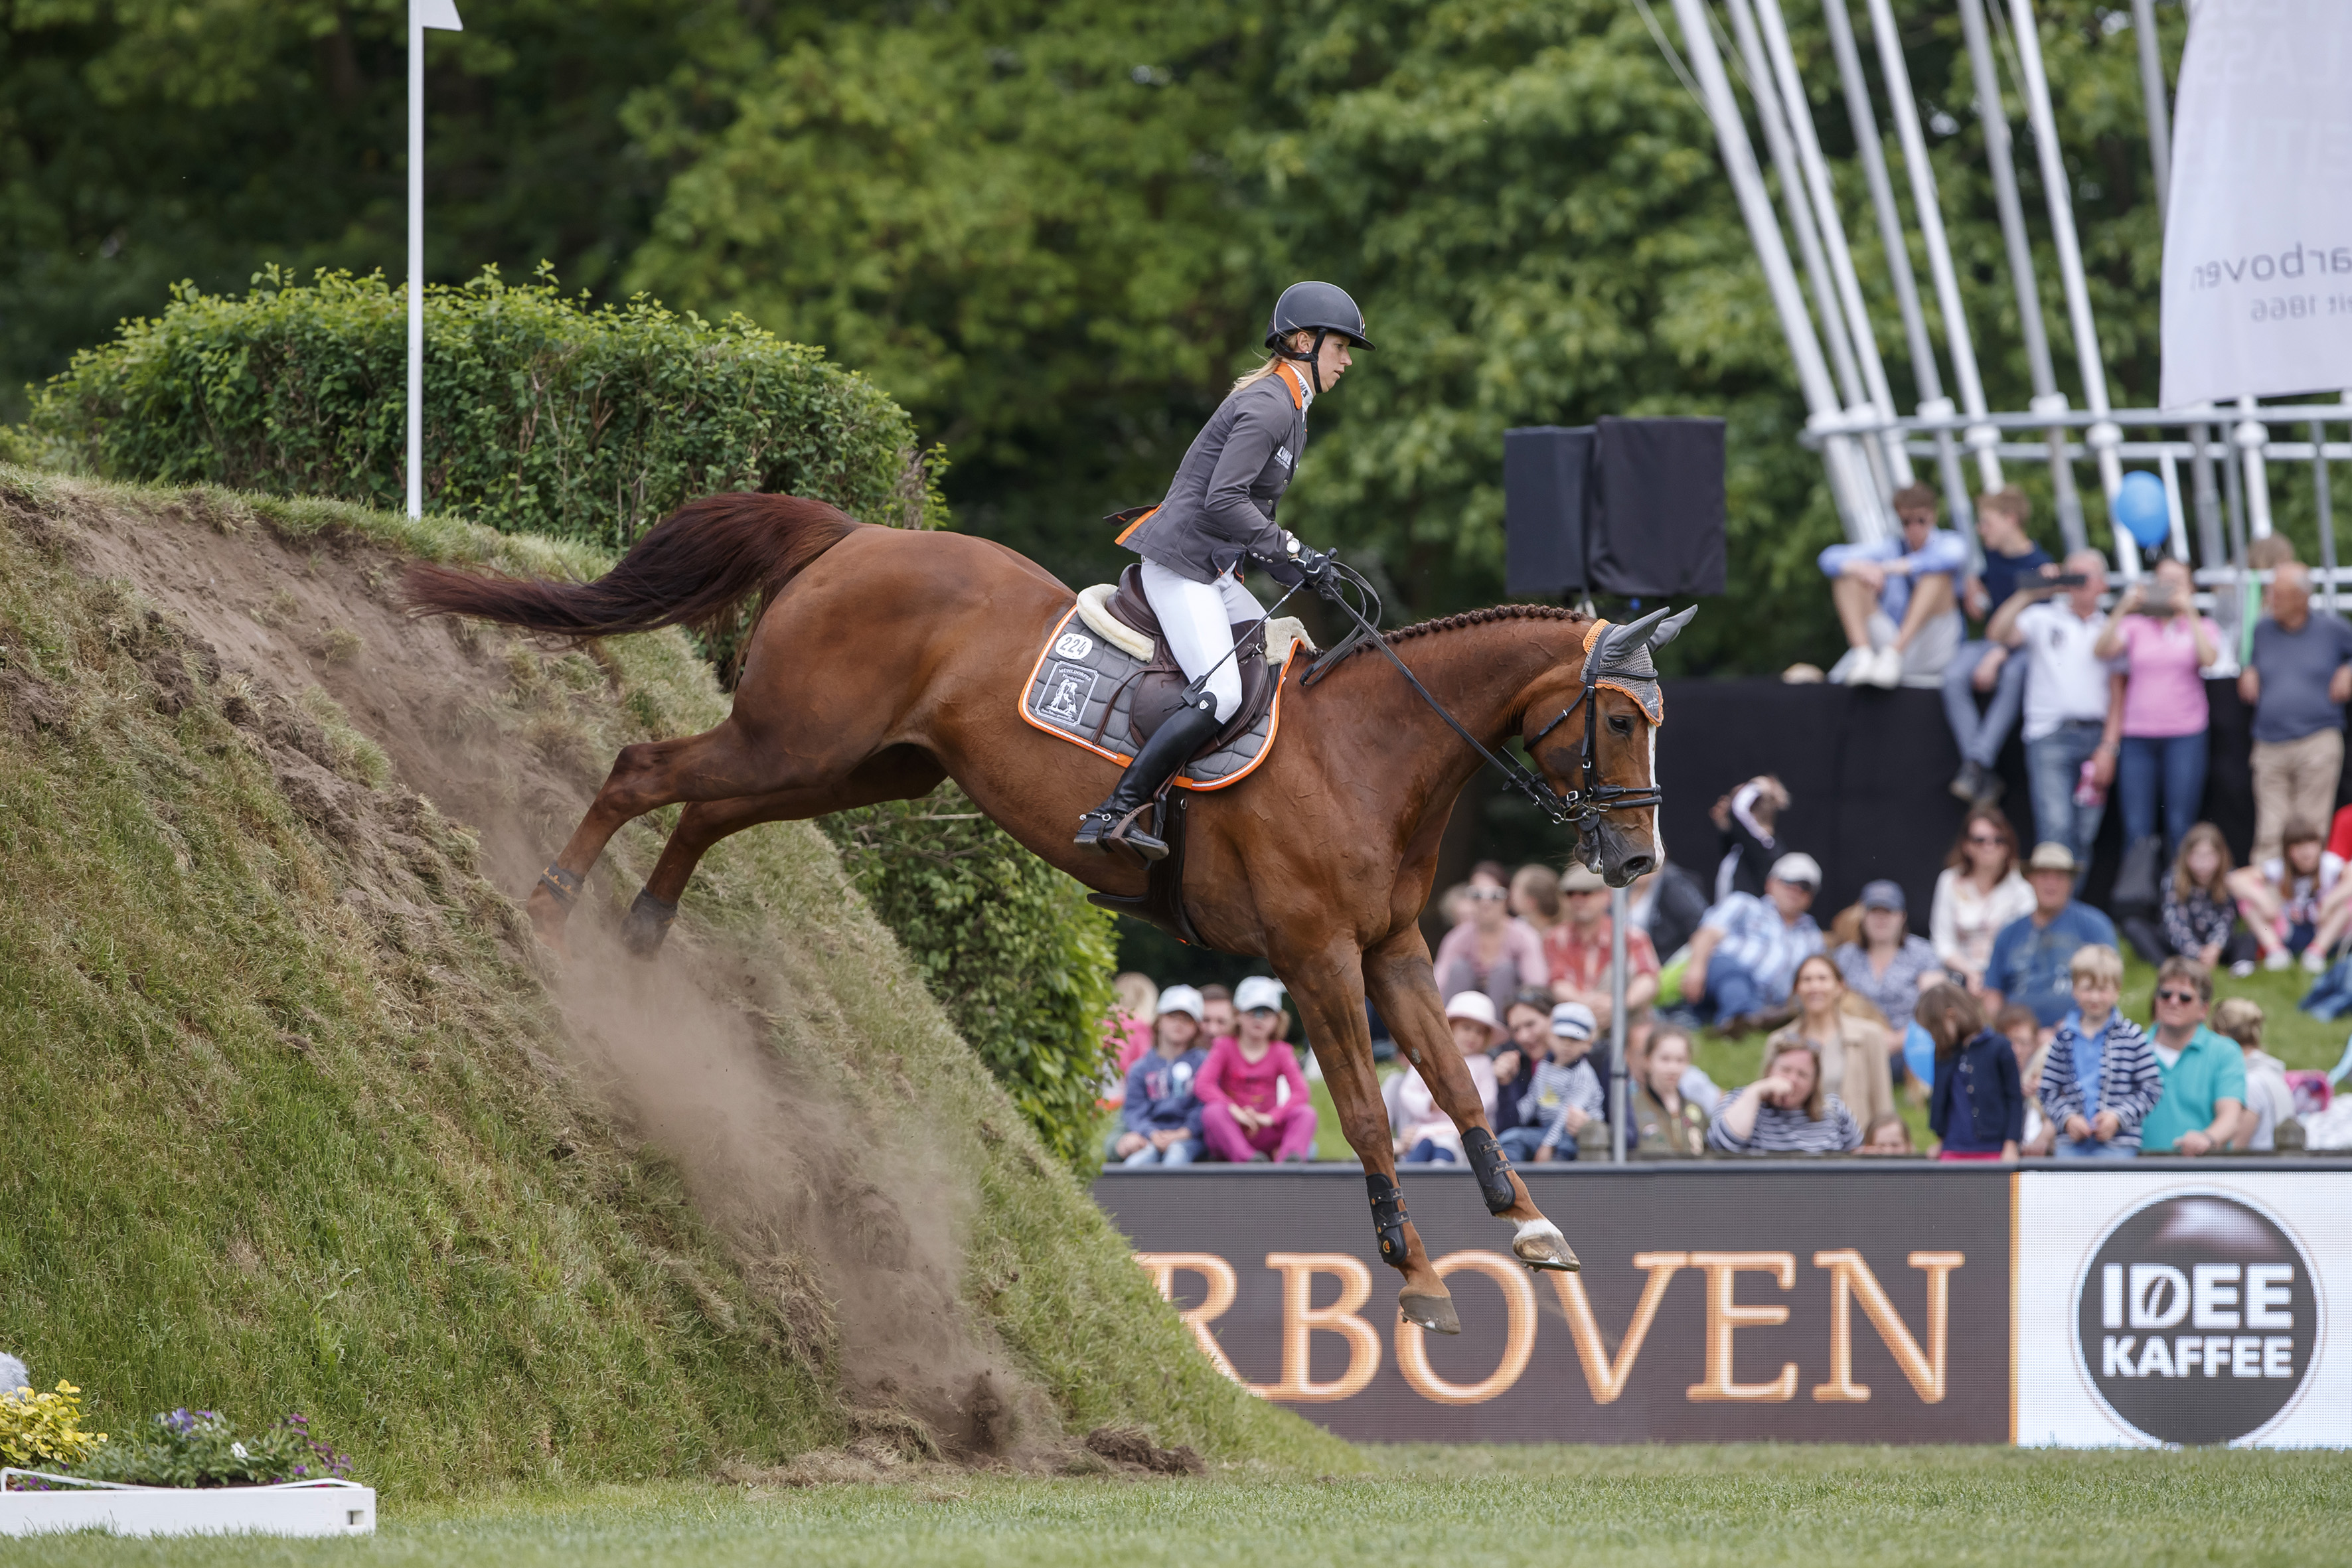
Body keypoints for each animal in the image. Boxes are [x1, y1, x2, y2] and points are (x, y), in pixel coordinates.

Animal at [414, 493, 1684, 1335]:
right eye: (1620, 720)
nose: (1632, 858)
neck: (1370, 754)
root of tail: (855, 535)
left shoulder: (1393, 950)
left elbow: (1459, 1087)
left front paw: (1528, 1227)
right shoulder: (1316, 957)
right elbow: (1371, 1115)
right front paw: (1416, 1279)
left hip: (854, 766)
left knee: (703, 812)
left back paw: (640, 931)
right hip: (797, 737)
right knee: (644, 769)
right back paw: (550, 907)